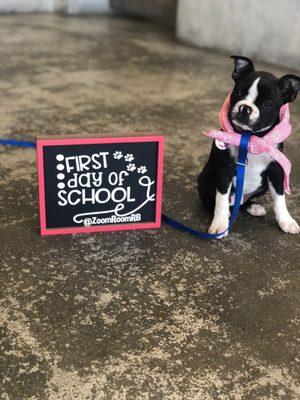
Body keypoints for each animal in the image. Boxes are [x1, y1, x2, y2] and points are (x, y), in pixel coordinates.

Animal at [198, 56, 298, 238]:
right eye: (238, 92)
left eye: (267, 103)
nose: (245, 107)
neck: (250, 138)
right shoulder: (225, 169)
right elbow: (221, 199)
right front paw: (219, 224)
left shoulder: (276, 170)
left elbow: (280, 199)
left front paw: (286, 221)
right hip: (204, 180)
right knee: (213, 201)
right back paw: (227, 213)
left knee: (242, 202)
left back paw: (253, 206)